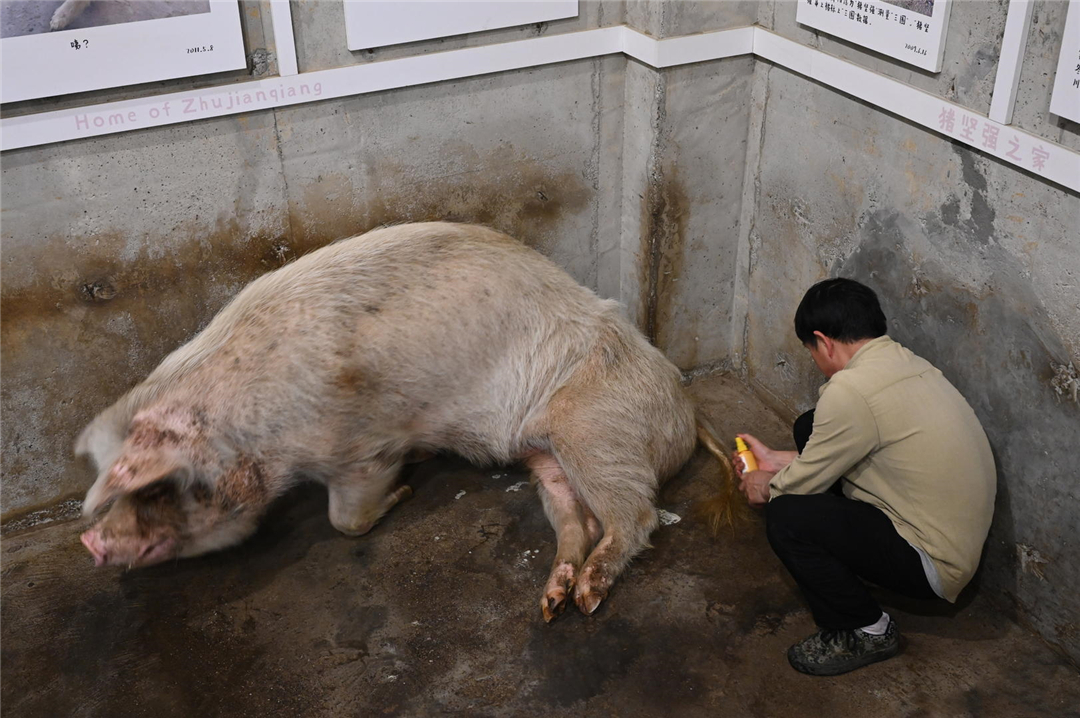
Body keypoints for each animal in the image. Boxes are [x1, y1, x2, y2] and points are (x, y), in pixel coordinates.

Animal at [73, 221, 734, 617]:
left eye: (157, 488)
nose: (89, 538)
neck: (255, 428)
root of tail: (685, 405)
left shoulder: (361, 446)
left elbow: (346, 519)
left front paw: (407, 490)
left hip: (595, 427)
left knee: (636, 514)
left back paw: (588, 599)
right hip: (546, 458)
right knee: (580, 520)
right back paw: (551, 601)